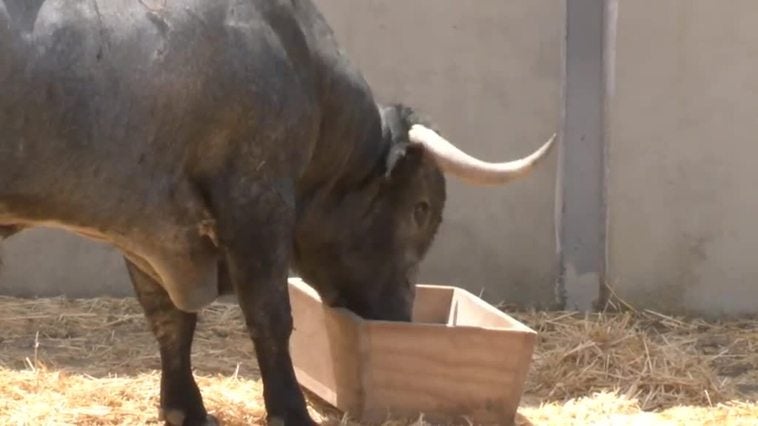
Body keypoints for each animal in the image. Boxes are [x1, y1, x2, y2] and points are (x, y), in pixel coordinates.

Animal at [0, 0, 560, 426]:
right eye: (421, 209)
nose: (400, 318)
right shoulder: (256, 202)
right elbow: (270, 317)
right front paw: (291, 411)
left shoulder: (150, 227)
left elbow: (170, 318)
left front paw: (184, 408)